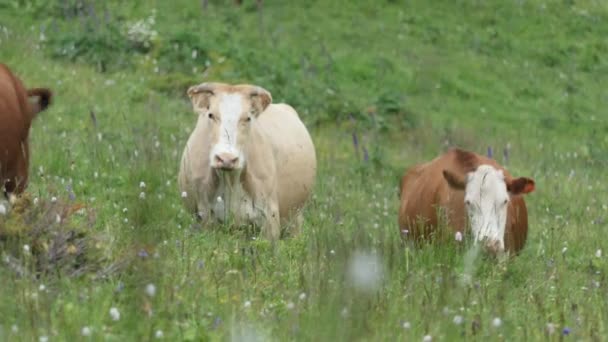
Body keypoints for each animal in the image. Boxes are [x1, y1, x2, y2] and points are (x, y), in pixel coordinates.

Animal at [177, 82, 316, 240]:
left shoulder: (270, 218)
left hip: (295, 218)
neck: (230, 180)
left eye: (248, 118)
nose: (226, 159)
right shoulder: (205, 218)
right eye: (210, 115)